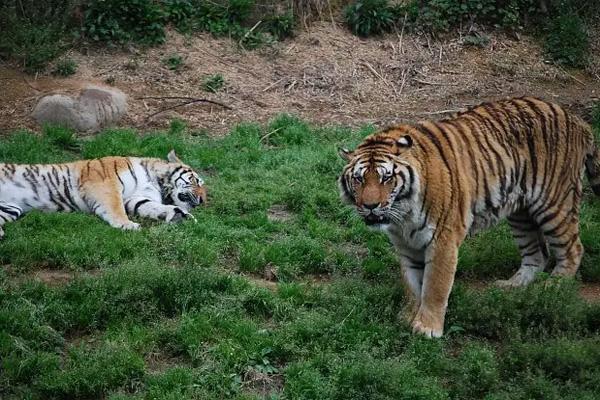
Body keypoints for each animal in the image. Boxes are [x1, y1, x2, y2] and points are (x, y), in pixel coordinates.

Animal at [0, 150, 206, 238]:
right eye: (197, 181)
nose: (203, 200)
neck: (157, 181)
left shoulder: (136, 199)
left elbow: (153, 207)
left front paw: (180, 215)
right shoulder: (106, 184)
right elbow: (115, 207)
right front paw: (127, 225)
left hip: (11, 209)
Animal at [338, 97, 600, 338]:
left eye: (386, 178)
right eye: (359, 179)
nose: (370, 206)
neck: (402, 214)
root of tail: (578, 121)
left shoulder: (443, 239)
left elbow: (435, 286)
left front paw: (427, 328)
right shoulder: (405, 244)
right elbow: (411, 283)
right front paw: (407, 317)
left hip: (554, 203)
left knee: (573, 249)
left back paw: (552, 287)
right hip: (521, 214)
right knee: (537, 255)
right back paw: (512, 287)